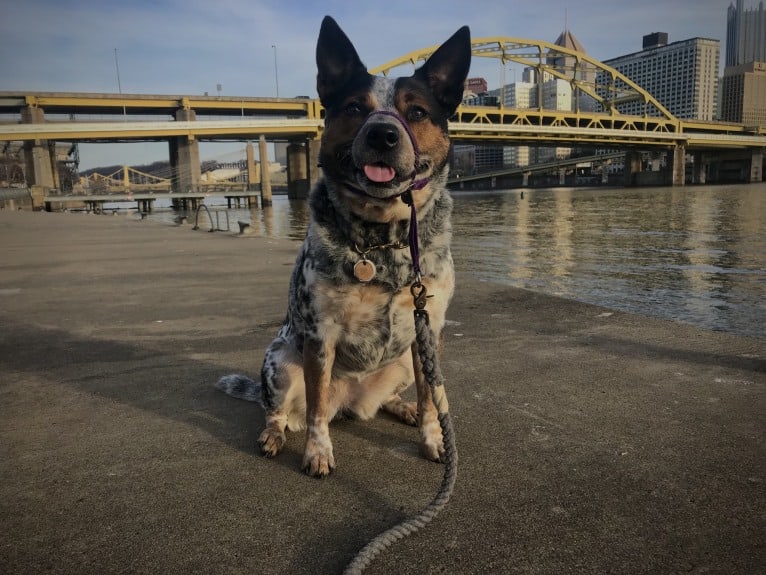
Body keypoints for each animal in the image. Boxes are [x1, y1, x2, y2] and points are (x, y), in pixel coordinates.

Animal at [218, 16, 474, 476]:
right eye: (355, 107)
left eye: (417, 112)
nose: (383, 134)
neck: (383, 239)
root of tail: (352, 400)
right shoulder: (321, 336)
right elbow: (317, 409)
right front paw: (318, 452)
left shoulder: (428, 331)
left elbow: (433, 398)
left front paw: (433, 438)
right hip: (281, 360)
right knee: (280, 409)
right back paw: (273, 434)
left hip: (402, 362)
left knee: (394, 398)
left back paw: (402, 407)